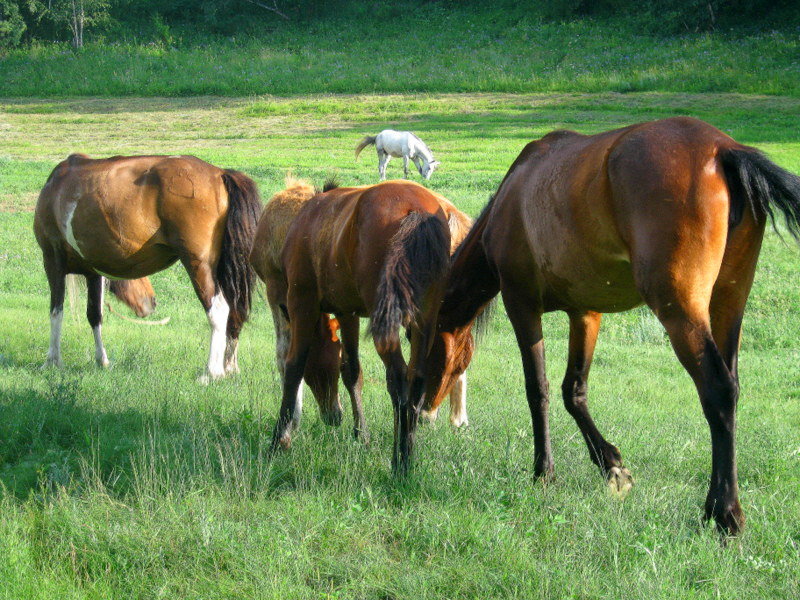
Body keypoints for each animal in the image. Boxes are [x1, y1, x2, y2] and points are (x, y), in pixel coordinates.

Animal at [34, 155, 260, 380]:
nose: (151, 302)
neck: (58, 185)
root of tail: (220, 173)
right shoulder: (93, 272)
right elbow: (94, 315)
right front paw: (102, 360)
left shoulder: (52, 261)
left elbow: (56, 311)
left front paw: (52, 361)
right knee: (234, 313)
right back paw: (229, 367)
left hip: (199, 266)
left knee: (219, 310)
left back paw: (211, 372)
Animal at [252, 178, 476, 440]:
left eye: (319, 371)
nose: (333, 417)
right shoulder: (347, 310)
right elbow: (352, 370)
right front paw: (361, 433)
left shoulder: (293, 297)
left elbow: (290, 362)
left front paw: (285, 431)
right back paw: (449, 420)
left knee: (403, 375)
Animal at [432, 117, 800, 536]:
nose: (420, 408)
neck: (512, 195)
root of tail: (721, 149)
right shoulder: (585, 313)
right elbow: (573, 391)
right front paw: (611, 464)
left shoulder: (521, 305)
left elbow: (537, 390)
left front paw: (544, 472)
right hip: (729, 304)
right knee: (732, 388)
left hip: (680, 311)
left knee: (718, 390)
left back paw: (724, 512)